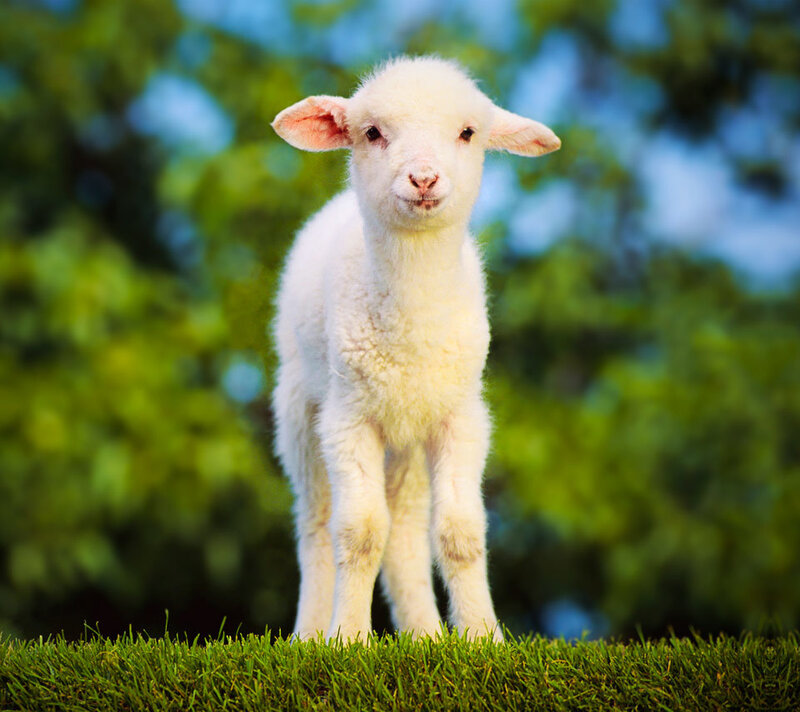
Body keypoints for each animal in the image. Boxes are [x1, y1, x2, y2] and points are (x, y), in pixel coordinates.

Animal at [270, 56, 560, 642]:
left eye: (468, 133)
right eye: (372, 132)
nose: (423, 178)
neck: (413, 331)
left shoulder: (461, 416)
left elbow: (460, 531)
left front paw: (482, 638)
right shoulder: (348, 419)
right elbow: (358, 532)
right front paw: (348, 640)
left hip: (408, 439)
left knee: (404, 531)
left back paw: (425, 634)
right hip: (299, 412)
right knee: (316, 524)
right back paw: (310, 634)